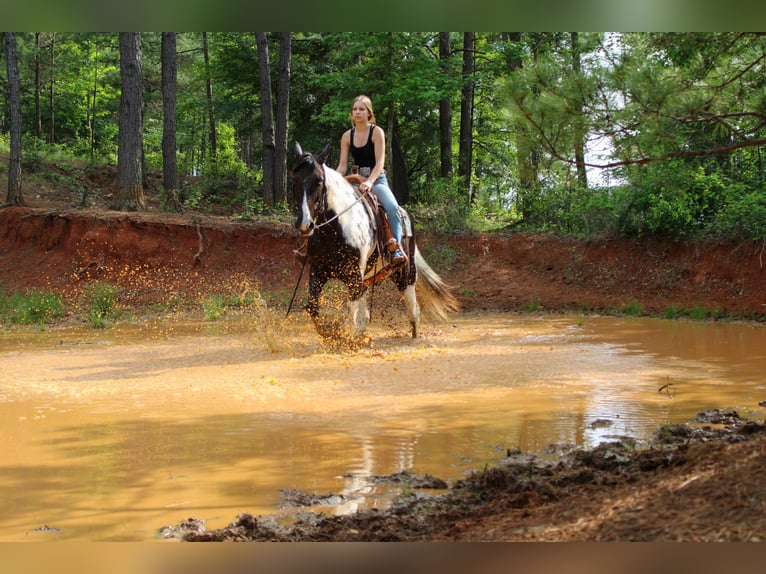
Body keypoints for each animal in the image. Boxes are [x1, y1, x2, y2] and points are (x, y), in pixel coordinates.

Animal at [292, 143, 460, 342]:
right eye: (294, 178)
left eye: (318, 180)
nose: (305, 224)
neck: (335, 228)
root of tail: (406, 215)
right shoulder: (318, 270)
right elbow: (312, 307)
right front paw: (332, 335)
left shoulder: (353, 274)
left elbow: (349, 310)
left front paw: (343, 338)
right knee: (365, 313)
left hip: (405, 271)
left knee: (411, 303)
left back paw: (414, 331)